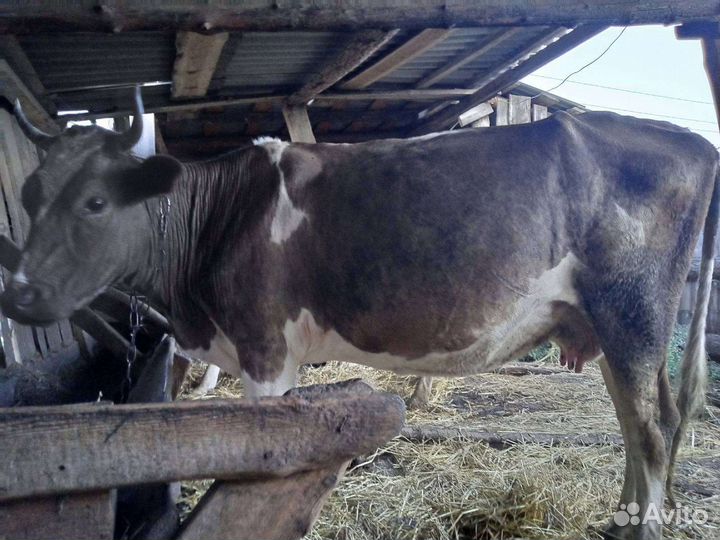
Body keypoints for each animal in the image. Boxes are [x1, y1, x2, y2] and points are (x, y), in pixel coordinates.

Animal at [3, 88, 717, 540]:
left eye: (95, 201)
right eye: (31, 194)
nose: (20, 292)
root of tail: (690, 141)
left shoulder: (264, 349)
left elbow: (260, 458)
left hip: (632, 313)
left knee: (653, 435)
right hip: (615, 330)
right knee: (637, 427)